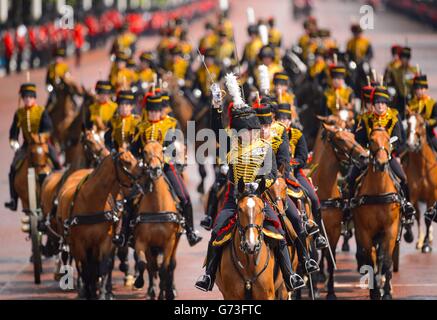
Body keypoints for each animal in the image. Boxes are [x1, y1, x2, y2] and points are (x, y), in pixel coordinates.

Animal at [56, 151, 141, 298]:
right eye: (126, 162)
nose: (141, 185)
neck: (92, 200)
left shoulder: (104, 242)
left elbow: (102, 268)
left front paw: (102, 294)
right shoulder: (80, 244)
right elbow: (86, 270)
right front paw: (89, 292)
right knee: (80, 265)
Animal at [132, 140, 181, 300]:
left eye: (161, 150)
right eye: (144, 151)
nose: (155, 169)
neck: (157, 209)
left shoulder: (169, 242)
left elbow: (164, 269)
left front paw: (163, 294)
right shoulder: (142, 241)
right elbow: (145, 265)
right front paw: (141, 283)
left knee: (171, 265)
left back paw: (170, 290)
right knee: (152, 267)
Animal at [310, 122, 368, 300]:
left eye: (354, 136)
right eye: (341, 139)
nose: (365, 156)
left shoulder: (334, 229)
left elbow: (330, 257)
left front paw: (331, 291)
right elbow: (315, 255)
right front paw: (315, 288)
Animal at [352, 127, 400, 300]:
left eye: (387, 138)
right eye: (371, 140)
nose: (381, 164)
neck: (378, 192)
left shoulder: (391, 230)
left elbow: (386, 261)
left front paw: (386, 292)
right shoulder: (364, 232)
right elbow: (370, 260)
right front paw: (375, 292)